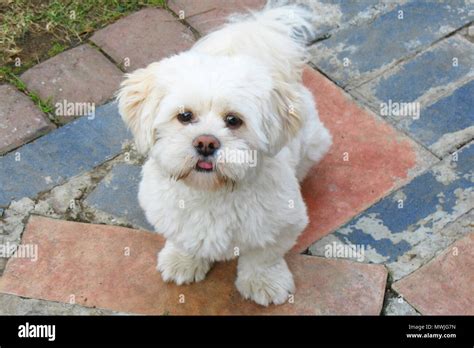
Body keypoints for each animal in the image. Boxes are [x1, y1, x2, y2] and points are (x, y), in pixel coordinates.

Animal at [116, 3, 332, 308]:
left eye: (233, 120)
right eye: (184, 116)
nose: (206, 143)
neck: (212, 193)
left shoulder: (282, 223)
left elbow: (264, 255)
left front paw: (264, 282)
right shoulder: (168, 214)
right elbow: (184, 239)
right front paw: (182, 261)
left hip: (314, 142)